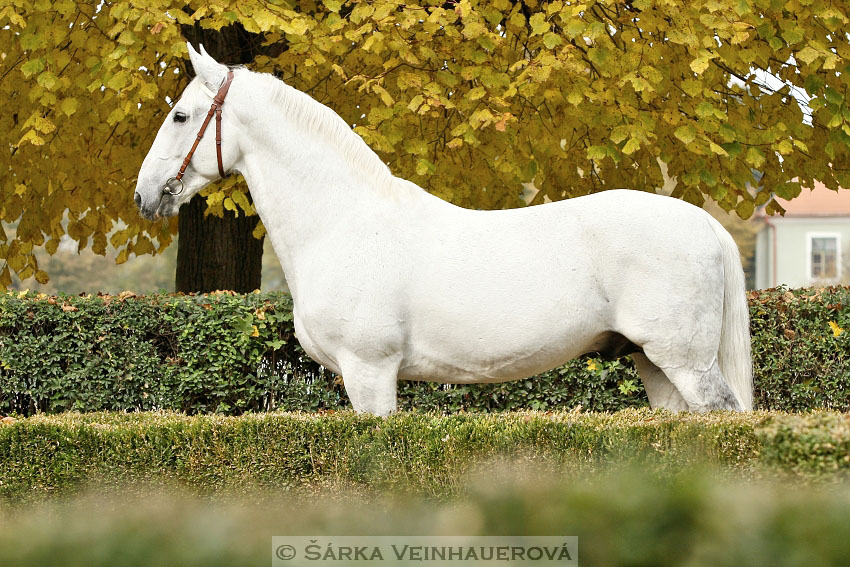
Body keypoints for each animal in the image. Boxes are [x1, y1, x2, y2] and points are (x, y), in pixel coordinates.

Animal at [136, 44, 752, 414]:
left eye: (181, 115)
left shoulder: (370, 373)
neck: (342, 224)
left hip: (686, 363)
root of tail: (703, 223)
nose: (146, 194)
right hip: (654, 365)